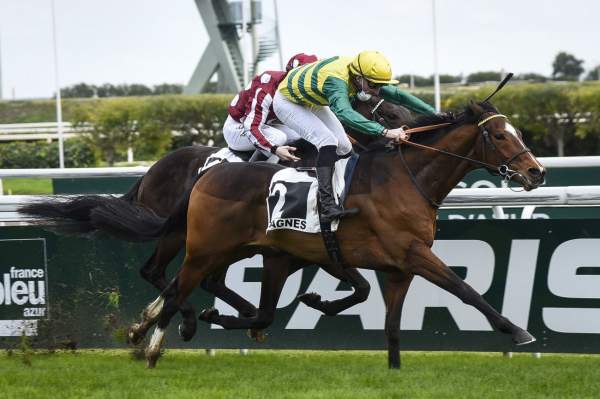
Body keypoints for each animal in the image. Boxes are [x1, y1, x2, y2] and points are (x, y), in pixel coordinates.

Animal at [132, 101, 548, 368]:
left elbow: (377, 309)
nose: (537, 172)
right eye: (499, 136)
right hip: (202, 247)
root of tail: (208, 174)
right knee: (171, 283)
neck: (405, 178)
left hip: (243, 250)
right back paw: (156, 341)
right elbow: (464, 289)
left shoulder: (376, 262)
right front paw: (516, 331)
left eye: (517, 131)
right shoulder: (412, 253)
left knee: (211, 292)